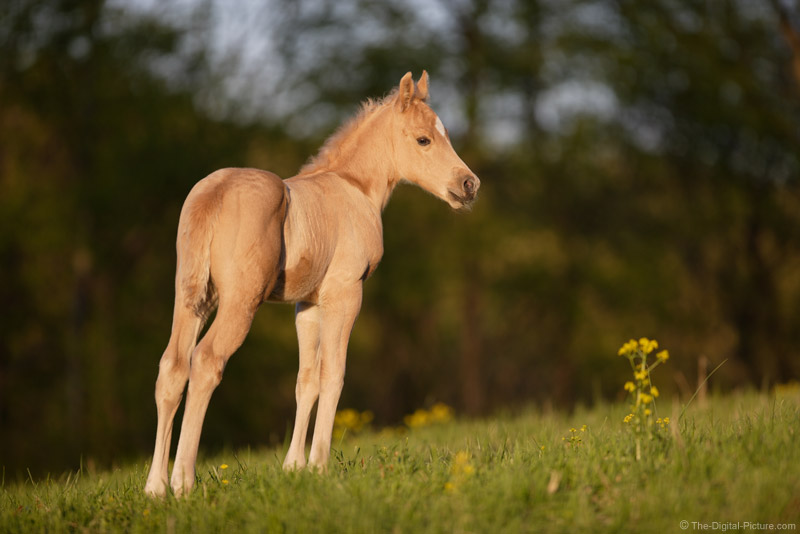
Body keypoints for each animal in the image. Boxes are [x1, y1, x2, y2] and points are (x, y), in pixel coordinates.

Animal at [144, 71, 480, 497]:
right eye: (424, 139)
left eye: (445, 134)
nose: (469, 184)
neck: (354, 186)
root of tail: (214, 192)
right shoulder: (345, 292)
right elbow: (333, 373)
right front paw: (319, 466)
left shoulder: (307, 304)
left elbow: (306, 380)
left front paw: (293, 467)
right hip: (240, 300)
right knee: (205, 361)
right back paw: (183, 481)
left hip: (192, 296)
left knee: (172, 366)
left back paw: (155, 487)